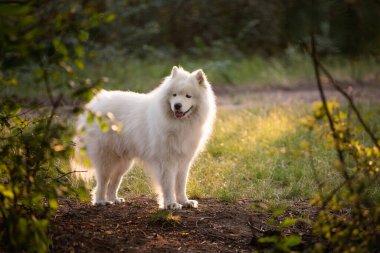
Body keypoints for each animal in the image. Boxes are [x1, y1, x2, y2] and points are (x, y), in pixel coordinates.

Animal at [73, 65, 217, 210]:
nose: (177, 105)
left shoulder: (183, 161)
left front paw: (185, 201)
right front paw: (171, 204)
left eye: (188, 96)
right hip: (107, 159)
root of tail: (93, 105)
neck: (179, 125)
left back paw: (114, 199)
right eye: (174, 95)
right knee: (102, 182)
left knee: (114, 181)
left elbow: (181, 184)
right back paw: (101, 201)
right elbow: (168, 185)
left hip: (124, 162)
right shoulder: (167, 161)